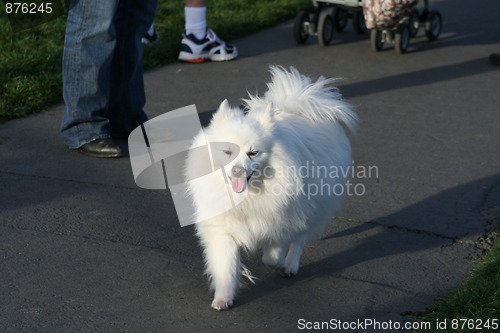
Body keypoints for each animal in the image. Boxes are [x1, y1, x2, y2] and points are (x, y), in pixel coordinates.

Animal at [186, 66, 358, 310]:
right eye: (227, 151)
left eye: (253, 153)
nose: (237, 170)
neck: (248, 197)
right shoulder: (223, 228)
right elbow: (225, 266)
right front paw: (223, 298)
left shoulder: (280, 221)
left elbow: (272, 255)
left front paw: (278, 263)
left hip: (312, 207)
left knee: (300, 238)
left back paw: (290, 266)